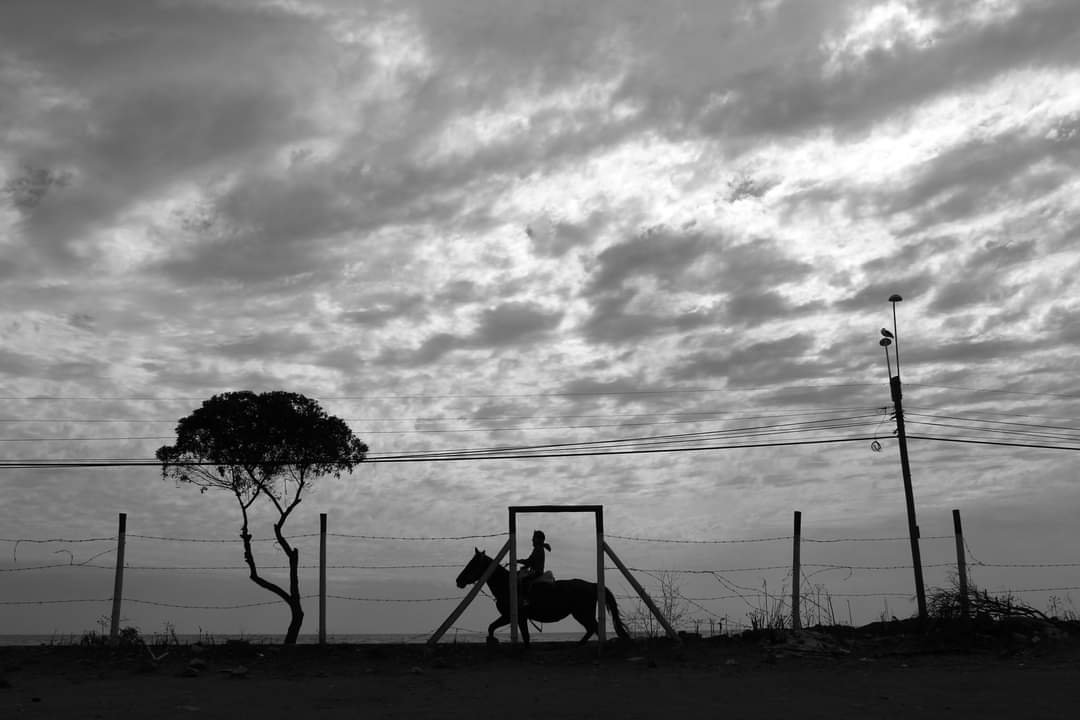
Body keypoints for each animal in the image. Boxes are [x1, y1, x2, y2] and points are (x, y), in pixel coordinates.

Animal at [451, 548, 630, 643]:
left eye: (472, 564)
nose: (458, 580)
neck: (507, 585)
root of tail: (593, 584)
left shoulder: (513, 617)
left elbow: (522, 635)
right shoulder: (512, 617)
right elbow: (492, 627)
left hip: (581, 613)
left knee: (593, 628)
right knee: (593, 629)